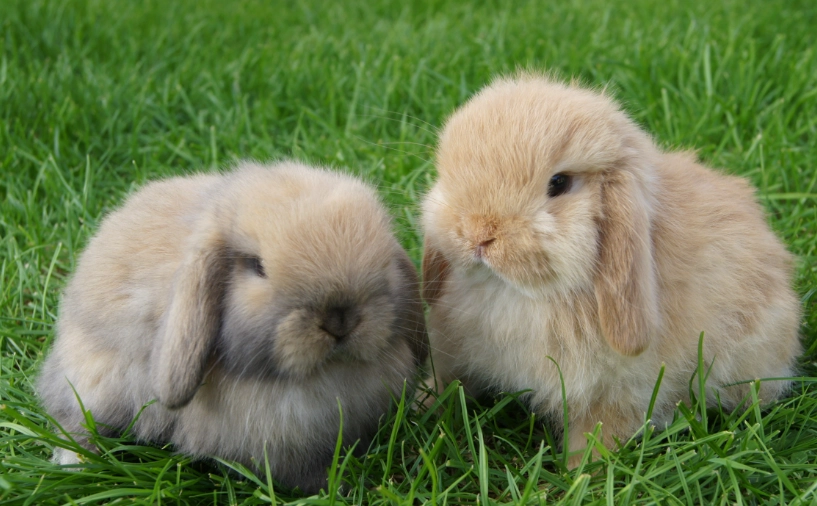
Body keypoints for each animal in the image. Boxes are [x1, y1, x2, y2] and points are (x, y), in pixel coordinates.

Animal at [37, 160, 428, 493]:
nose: (339, 320)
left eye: (385, 262)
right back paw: (77, 462)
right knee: (72, 423)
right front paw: (339, 487)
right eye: (256, 266)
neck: (327, 373)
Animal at [420, 74, 801, 466]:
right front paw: (423, 403)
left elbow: (598, 432)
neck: (514, 292)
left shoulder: (618, 392)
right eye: (447, 178)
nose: (479, 234)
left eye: (559, 183)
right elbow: (448, 381)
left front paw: (579, 470)